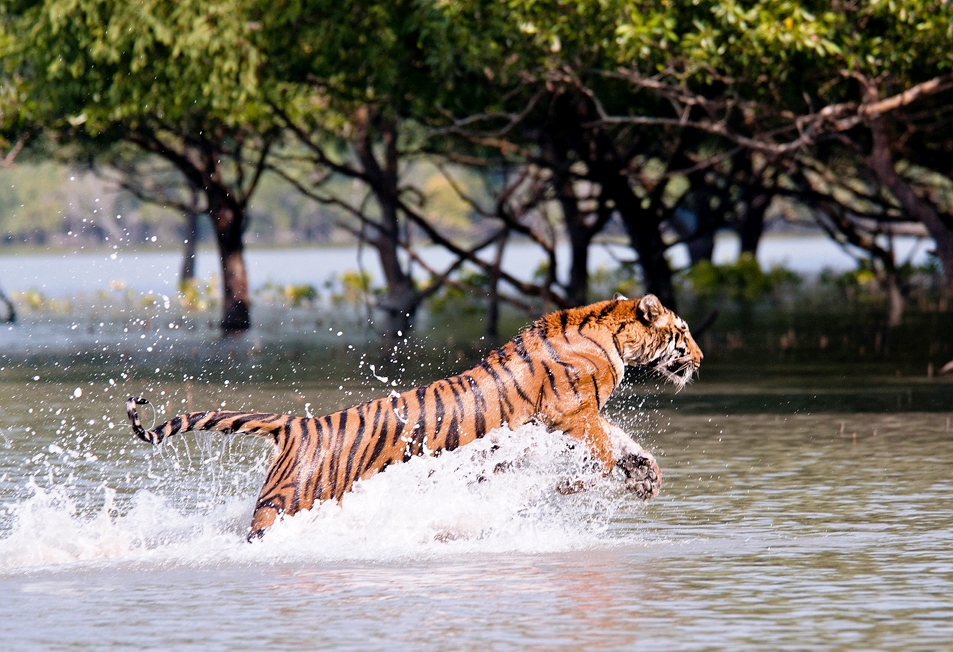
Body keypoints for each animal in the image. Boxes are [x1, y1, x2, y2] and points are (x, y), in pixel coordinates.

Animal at [126, 296, 704, 540]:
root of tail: (296, 424)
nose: (699, 358)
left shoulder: (578, 419)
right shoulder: (571, 415)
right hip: (288, 501)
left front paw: (645, 477)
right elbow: (601, 454)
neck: (613, 332)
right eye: (683, 332)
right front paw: (593, 482)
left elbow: (623, 444)